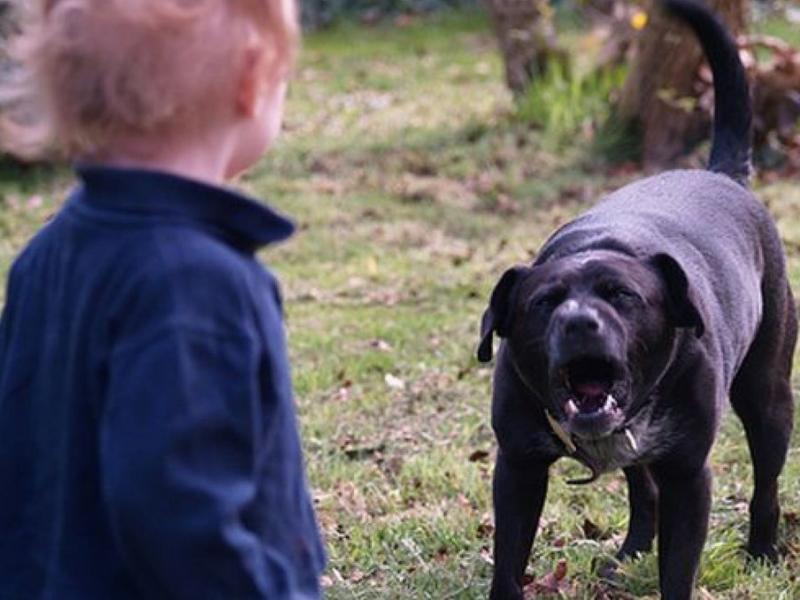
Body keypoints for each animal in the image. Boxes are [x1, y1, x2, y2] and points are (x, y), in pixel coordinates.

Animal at [478, 2, 796, 596]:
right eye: (544, 303)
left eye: (622, 295)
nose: (579, 322)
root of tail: (723, 175)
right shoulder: (517, 468)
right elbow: (508, 563)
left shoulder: (689, 475)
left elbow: (679, 569)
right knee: (641, 490)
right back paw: (630, 551)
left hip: (768, 395)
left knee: (766, 481)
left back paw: (763, 550)